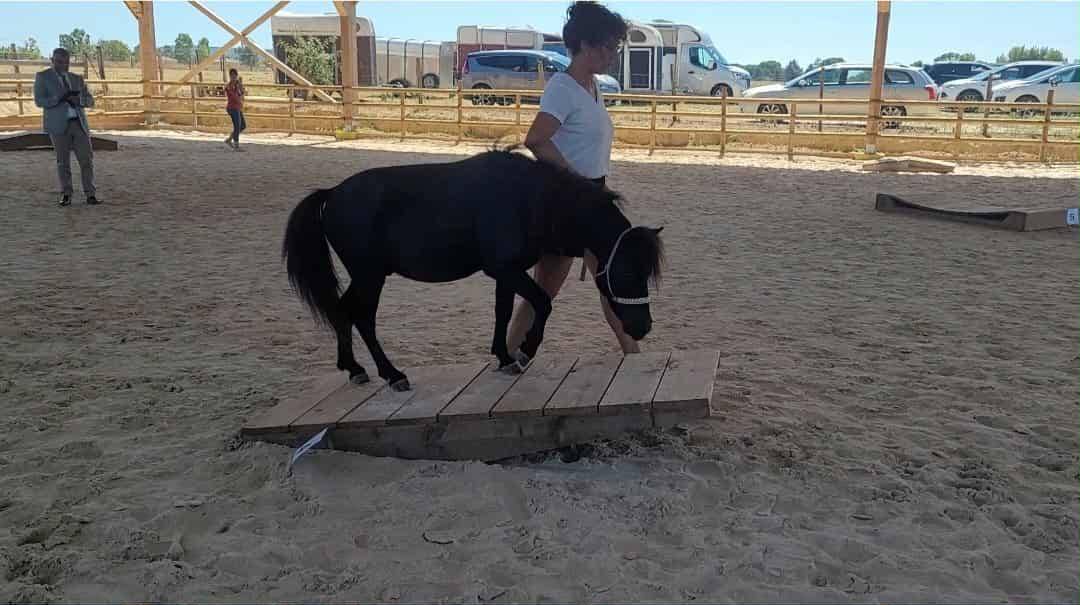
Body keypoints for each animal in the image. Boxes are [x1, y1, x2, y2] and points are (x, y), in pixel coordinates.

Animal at [282, 147, 664, 392]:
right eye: (626, 273)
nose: (643, 327)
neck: (530, 199)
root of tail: (332, 193)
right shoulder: (505, 269)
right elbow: (542, 303)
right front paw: (525, 349)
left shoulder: (506, 273)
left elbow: (503, 311)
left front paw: (505, 357)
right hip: (370, 276)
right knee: (362, 317)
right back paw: (392, 375)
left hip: (364, 276)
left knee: (342, 311)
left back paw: (354, 369)